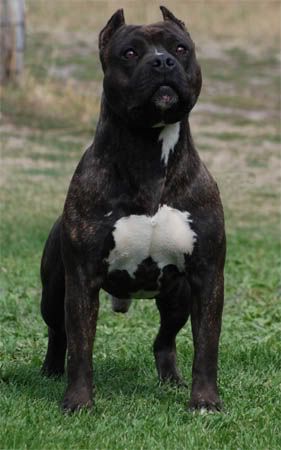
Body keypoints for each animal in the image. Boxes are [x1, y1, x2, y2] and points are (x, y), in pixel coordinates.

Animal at [40, 7, 225, 414]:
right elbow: (81, 347)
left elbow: (206, 346)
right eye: (129, 53)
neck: (148, 154)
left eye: (180, 48)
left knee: (164, 339)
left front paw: (205, 401)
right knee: (58, 332)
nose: (162, 61)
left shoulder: (207, 277)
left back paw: (171, 380)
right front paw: (78, 402)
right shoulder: (82, 280)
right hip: (53, 292)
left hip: (177, 298)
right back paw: (50, 371)